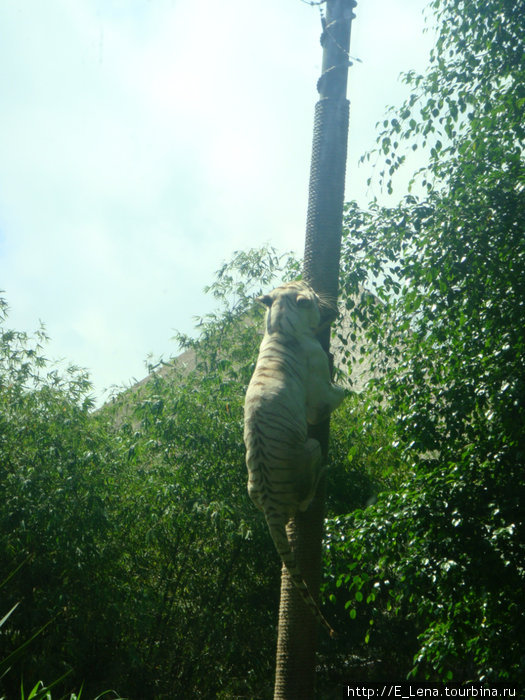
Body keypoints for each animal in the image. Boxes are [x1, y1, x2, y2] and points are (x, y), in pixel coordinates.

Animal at [244, 278, 346, 636]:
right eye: (311, 294)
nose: (323, 295)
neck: (278, 325)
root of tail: (271, 508)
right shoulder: (320, 396)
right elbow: (337, 395)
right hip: (311, 448)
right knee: (304, 501)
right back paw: (325, 472)